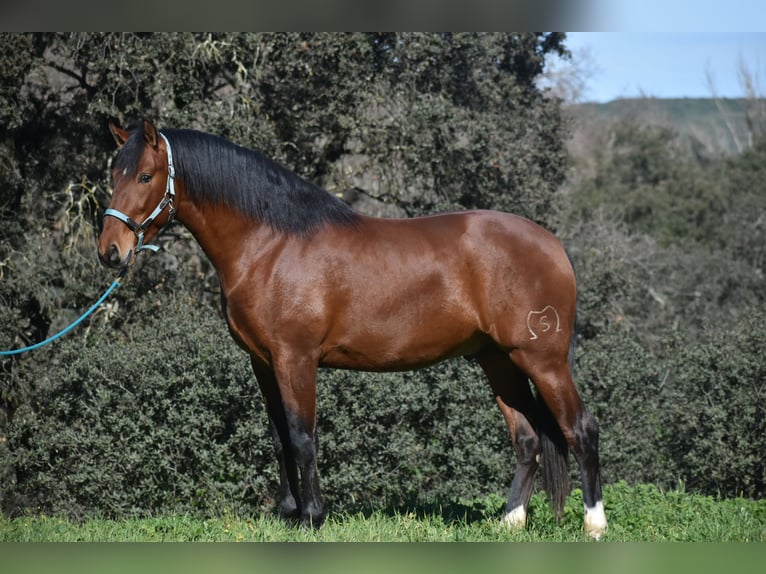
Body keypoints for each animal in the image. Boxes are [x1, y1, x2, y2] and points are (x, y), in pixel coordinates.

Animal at [99, 120, 608, 540]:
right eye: (113, 176)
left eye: (145, 176)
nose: (110, 250)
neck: (270, 245)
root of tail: (553, 245)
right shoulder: (263, 361)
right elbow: (279, 437)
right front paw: (288, 513)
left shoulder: (296, 358)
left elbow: (303, 436)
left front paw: (312, 517)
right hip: (498, 361)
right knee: (527, 438)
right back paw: (509, 521)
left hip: (543, 361)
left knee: (581, 429)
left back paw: (594, 524)